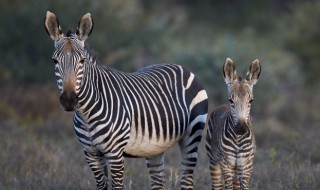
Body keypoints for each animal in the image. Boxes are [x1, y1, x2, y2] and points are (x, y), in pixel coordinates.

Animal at [43, 11, 208, 190]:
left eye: (82, 60)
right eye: (54, 61)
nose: (69, 100)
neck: (86, 113)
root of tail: (182, 67)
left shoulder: (115, 154)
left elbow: (117, 186)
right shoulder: (91, 154)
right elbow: (101, 185)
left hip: (192, 136)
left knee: (187, 178)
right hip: (155, 148)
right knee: (158, 182)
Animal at [206, 58, 262, 189]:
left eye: (251, 100)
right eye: (231, 100)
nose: (241, 128)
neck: (238, 139)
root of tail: (221, 106)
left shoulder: (246, 165)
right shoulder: (226, 164)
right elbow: (228, 187)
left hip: (237, 168)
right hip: (213, 160)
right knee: (217, 185)